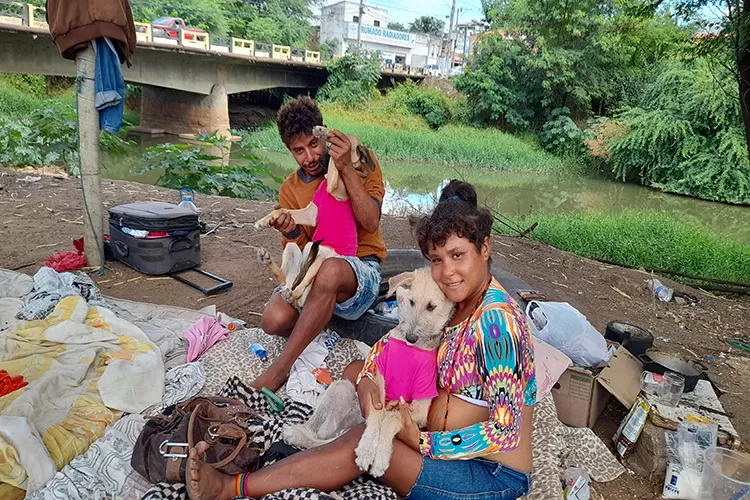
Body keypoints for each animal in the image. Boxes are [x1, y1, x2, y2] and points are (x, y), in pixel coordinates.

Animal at [284, 268, 456, 478]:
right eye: (411, 302)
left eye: (431, 307)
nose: (411, 337)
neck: (410, 349)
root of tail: (342, 430)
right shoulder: (375, 386)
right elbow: (378, 412)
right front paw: (367, 450)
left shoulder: (419, 409)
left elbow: (391, 418)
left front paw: (380, 457)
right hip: (342, 388)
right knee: (316, 432)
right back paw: (296, 433)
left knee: (322, 439)